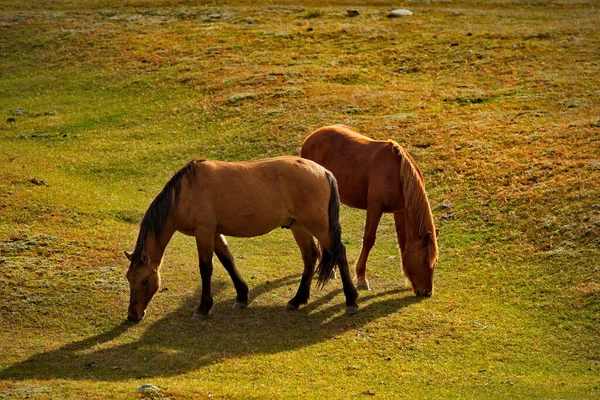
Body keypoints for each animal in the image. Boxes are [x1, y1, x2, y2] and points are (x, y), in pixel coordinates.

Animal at [122, 156, 356, 322]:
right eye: (129, 278)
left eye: (145, 280)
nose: (133, 315)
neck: (186, 192)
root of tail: (323, 171)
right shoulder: (215, 233)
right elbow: (228, 261)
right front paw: (242, 297)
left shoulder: (204, 232)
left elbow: (206, 268)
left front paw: (203, 308)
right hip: (298, 226)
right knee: (310, 257)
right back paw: (297, 300)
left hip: (319, 227)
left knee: (340, 253)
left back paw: (351, 300)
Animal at [302, 125, 438, 296]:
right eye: (424, 260)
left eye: (435, 260)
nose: (427, 292)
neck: (397, 174)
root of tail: (312, 137)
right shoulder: (375, 207)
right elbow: (368, 240)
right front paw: (361, 278)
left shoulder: (399, 211)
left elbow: (402, 242)